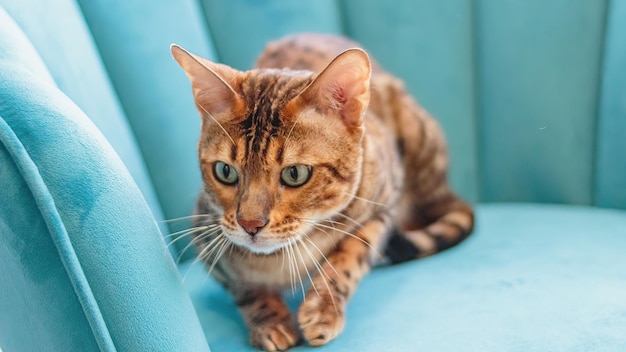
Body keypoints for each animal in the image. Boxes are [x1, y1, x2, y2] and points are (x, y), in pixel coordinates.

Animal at [171, 32, 472, 350]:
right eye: (225, 171)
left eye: (295, 174)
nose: (250, 224)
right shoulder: (205, 236)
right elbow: (244, 289)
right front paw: (270, 321)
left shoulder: (381, 206)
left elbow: (350, 256)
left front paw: (323, 309)